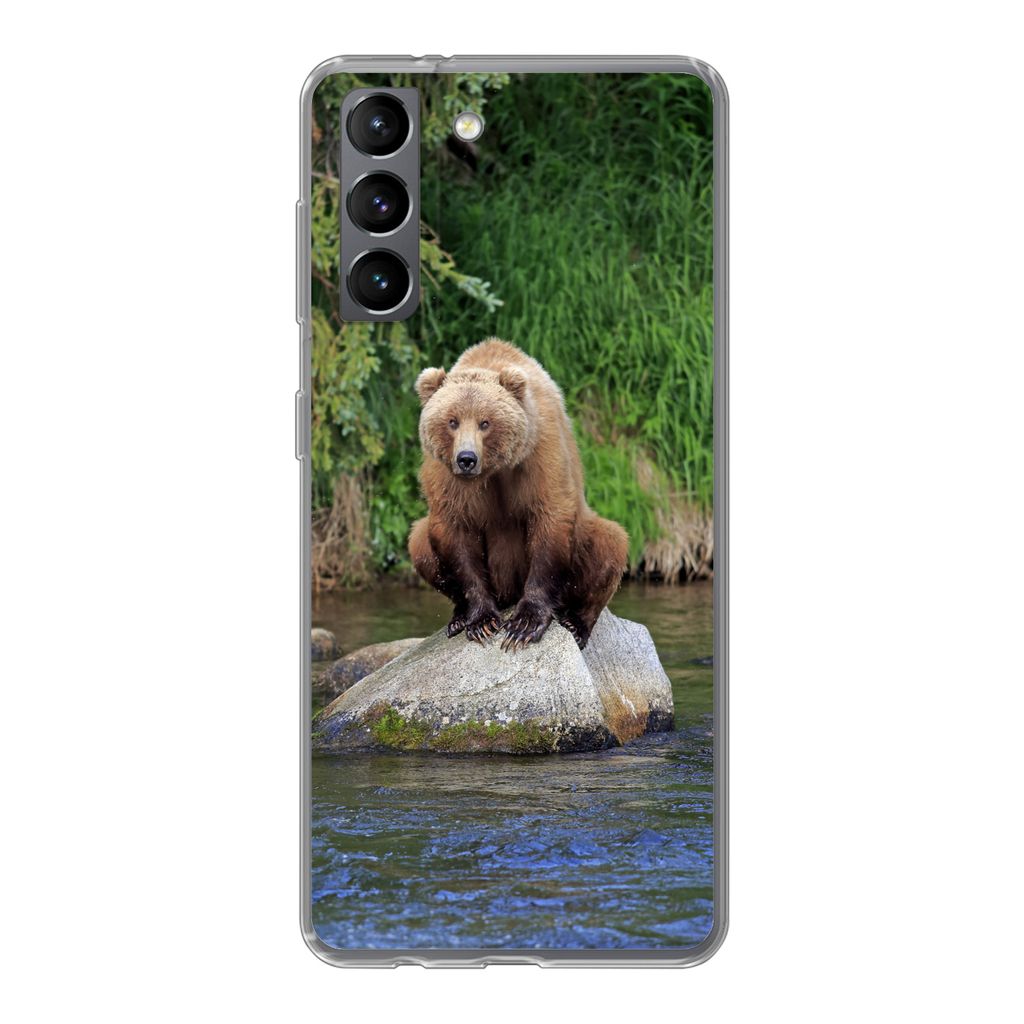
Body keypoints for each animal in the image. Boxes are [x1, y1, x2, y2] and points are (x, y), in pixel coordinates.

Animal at [407, 338, 629, 651]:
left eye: (485, 422)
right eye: (452, 421)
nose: (466, 459)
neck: (495, 470)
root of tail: (507, 594)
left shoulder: (539, 453)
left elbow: (550, 518)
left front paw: (524, 624)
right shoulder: (445, 475)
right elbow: (455, 530)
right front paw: (481, 622)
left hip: (585, 540)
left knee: (609, 542)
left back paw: (576, 622)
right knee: (419, 542)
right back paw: (458, 618)